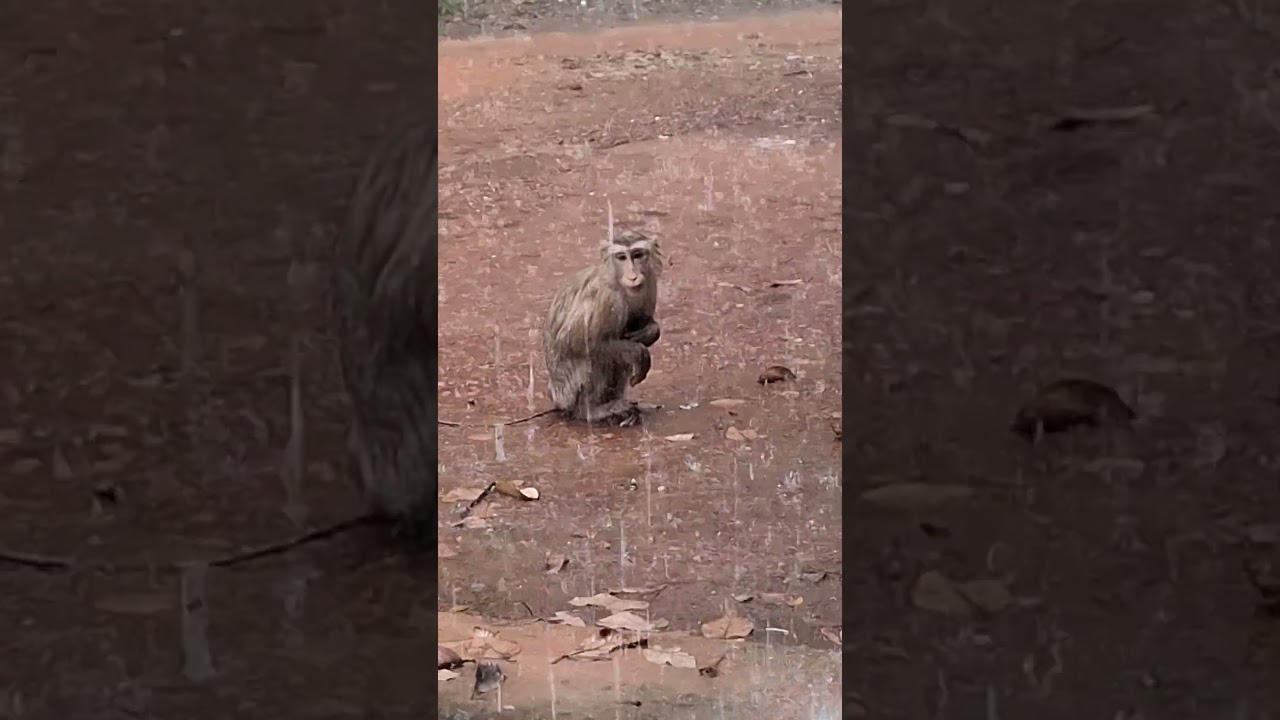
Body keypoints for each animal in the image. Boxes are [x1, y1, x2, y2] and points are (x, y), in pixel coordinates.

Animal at [542, 230, 663, 426]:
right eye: (621, 257)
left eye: (638, 255)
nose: (633, 275)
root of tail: (555, 397)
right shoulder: (606, 297)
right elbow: (571, 341)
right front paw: (638, 351)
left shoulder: (651, 285)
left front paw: (650, 332)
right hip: (568, 391)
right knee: (596, 356)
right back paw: (591, 411)